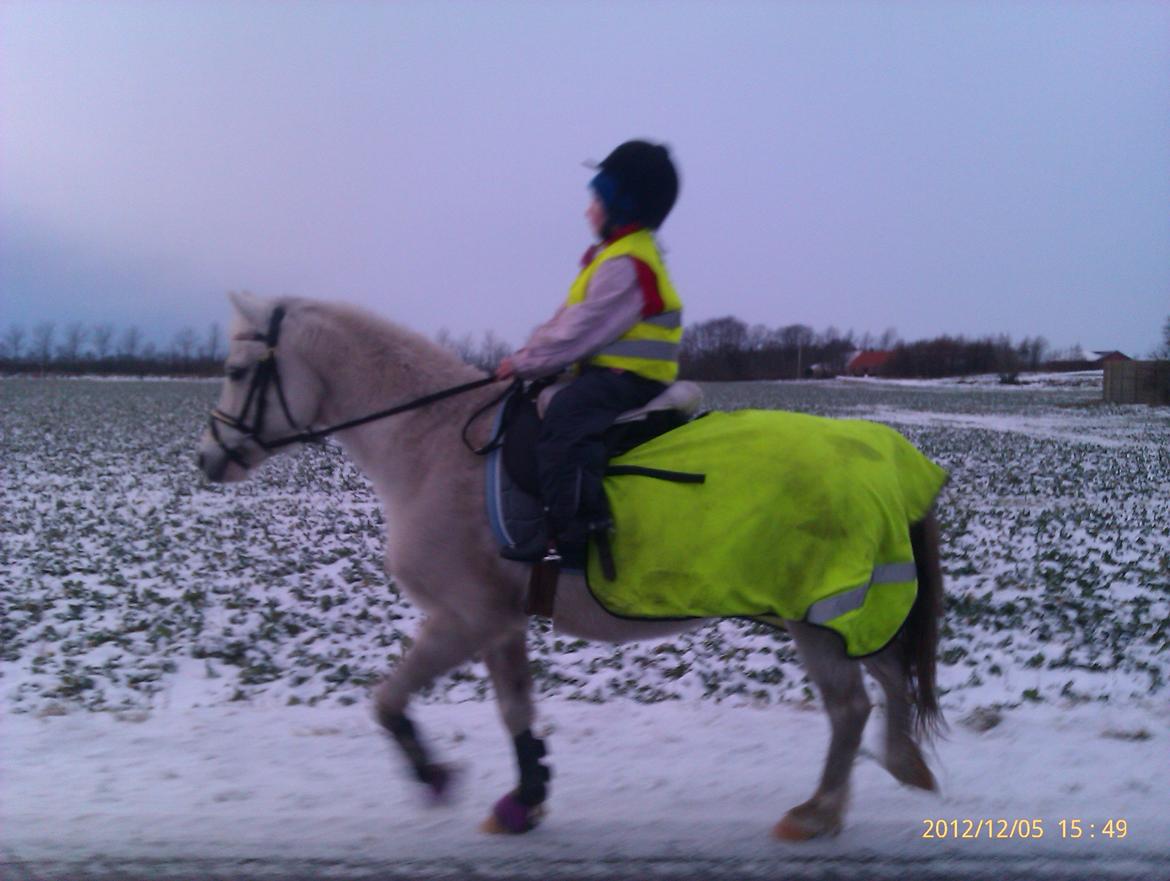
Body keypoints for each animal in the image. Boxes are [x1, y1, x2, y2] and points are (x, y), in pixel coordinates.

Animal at [194, 290, 940, 837]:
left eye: (235, 372)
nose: (207, 459)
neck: (429, 445)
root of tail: (886, 460)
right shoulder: (500, 620)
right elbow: (514, 708)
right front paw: (526, 795)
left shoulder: (465, 617)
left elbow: (393, 700)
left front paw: (441, 779)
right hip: (842, 611)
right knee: (888, 676)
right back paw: (903, 766)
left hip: (817, 616)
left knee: (850, 705)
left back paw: (817, 813)